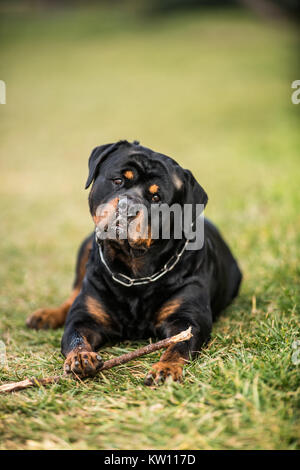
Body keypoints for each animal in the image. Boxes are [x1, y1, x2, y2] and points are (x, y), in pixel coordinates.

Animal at [25, 140, 241, 386]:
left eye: (156, 198)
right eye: (118, 180)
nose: (127, 206)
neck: (134, 273)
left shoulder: (188, 319)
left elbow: (178, 345)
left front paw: (165, 368)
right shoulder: (84, 317)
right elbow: (76, 335)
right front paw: (81, 357)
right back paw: (46, 316)